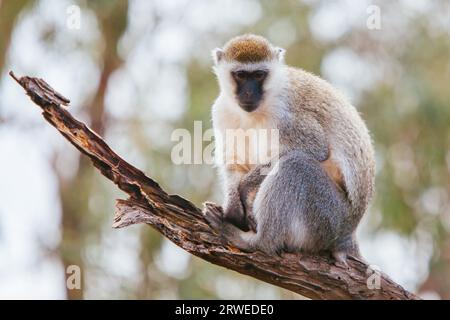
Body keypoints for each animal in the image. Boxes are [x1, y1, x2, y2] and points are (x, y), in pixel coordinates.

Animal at [203, 33, 372, 262]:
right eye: (241, 75)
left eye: (259, 75)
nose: (248, 93)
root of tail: (349, 235)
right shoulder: (222, 111)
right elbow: (234, 161)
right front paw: (233, 203)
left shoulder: (284, 113)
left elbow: (314, 148)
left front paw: (245, 188)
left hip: (330, 217)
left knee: (294, 166)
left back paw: (256, 242)